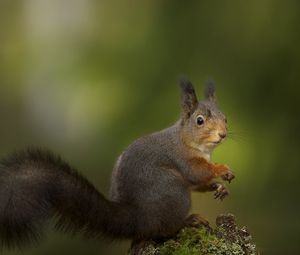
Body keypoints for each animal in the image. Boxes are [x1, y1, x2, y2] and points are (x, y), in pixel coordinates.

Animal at [0, 78, 234, 249]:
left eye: (225, 118)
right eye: (200, 120)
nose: (222, 134)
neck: (190, 141)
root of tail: (137, 218)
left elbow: (199, 183)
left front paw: (219, 186)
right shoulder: (182, 158)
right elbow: (196, 173)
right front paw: (222, 169)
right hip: (172, 189)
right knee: (166, 229)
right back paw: (189, 220)